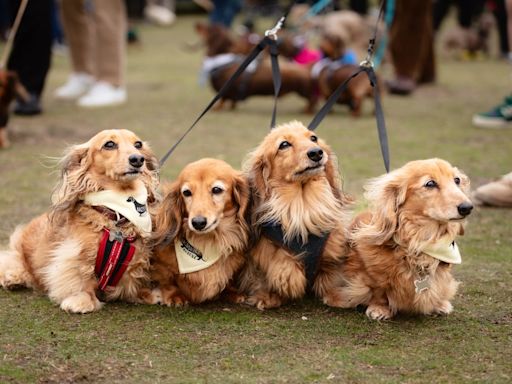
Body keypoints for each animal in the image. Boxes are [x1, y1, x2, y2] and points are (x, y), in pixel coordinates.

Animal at [0, 129, 159, 312]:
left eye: (138, 144)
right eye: (109, 144)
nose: (137, 159)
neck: (116, 214)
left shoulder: (136, 257)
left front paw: (146, 294)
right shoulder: (75, 252)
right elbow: (80, 277)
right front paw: (81, 300)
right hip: (21, 248)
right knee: (12, 260)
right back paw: (12, 278)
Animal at [148, 158, 250, 306]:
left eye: (217, 189)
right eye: (186, 192)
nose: (198, 223)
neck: (208, 241)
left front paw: (231, 292)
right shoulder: (160, 266)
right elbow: (167, 281)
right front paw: (175, 296)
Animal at [239, 120, 352, 308]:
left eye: (313, 138)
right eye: (284, 144)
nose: (317, 153)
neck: (303, 206)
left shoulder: (333, 252)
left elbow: (331, 276)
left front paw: (337, 295)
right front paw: (268, 296)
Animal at [338, 158, 474, 320]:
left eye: (457, 180)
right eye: (430, 183)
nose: (467, 207)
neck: (421, 241)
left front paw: (440, 304)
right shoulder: (370, 277)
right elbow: (378, 290)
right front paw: (379, 308)